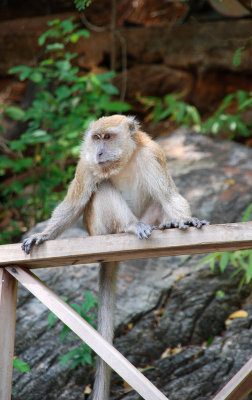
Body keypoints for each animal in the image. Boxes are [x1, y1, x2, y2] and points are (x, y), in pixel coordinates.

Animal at [21, 114, 208, 398]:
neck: (125, 160)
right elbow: (75, 204)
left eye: (107, 137)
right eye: (96, 138)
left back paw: (167, 225)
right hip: (98, 230)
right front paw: (43, 235)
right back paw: (129, 227)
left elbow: (168, 196)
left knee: (155, 199)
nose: (99, 152)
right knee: (102, 189)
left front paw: (185, 221)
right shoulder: (86, 162)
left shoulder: (152, 154)